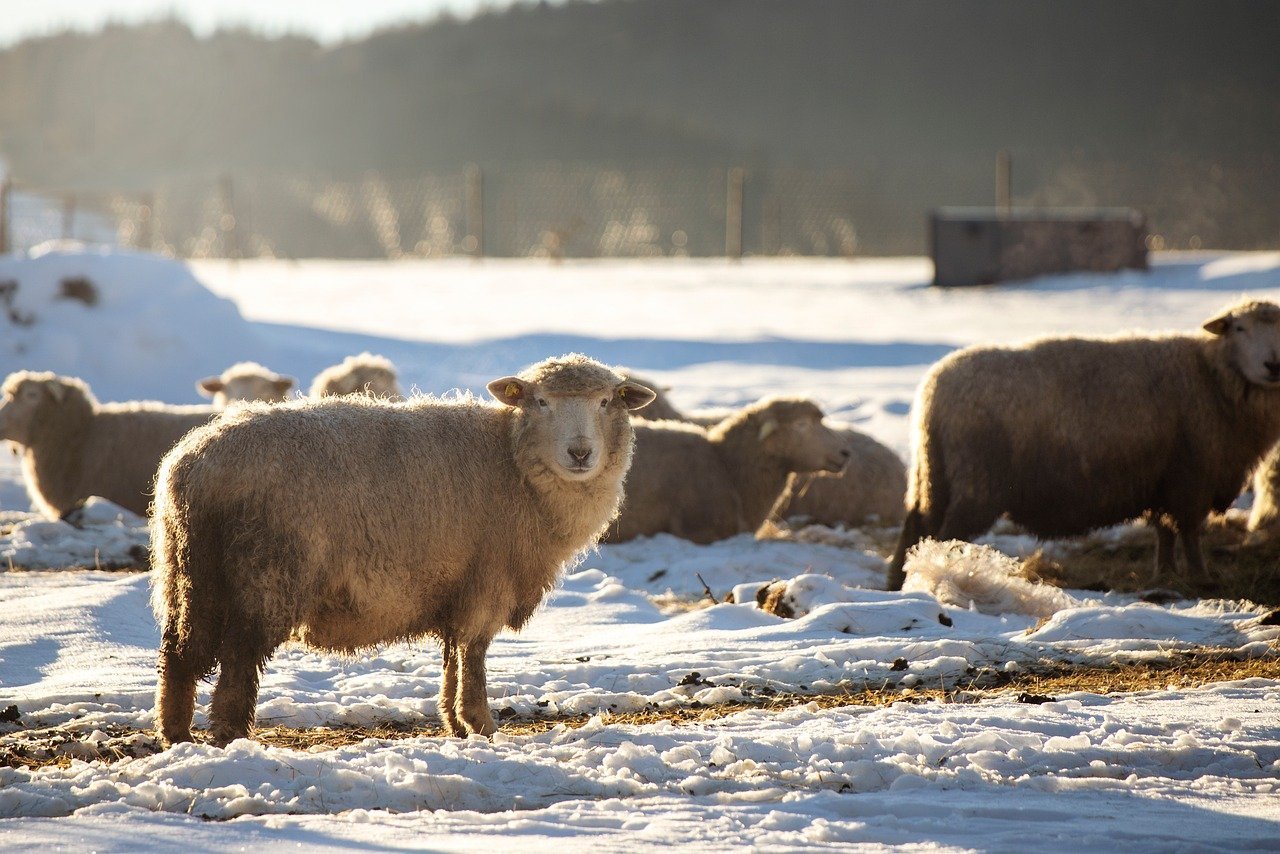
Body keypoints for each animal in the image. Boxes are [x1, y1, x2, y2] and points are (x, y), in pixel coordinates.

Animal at [150, 354, 655, 746]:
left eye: (606, 402)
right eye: (542, 401)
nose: (580, 454)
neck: (514, 463)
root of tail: (196, 466)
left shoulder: (458, 584)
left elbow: (453, 658)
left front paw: (455, 723)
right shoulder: (488, 579)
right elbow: (473, 655)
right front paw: (481, 724)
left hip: (189, 570)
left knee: (179, 652)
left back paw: (176, 733)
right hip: (267, 572)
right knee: (239, 656)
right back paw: (231, 735)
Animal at [888, 298, 1280, 590]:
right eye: (1239, 328)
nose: (1272, 365)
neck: (1212, 377)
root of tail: (933, 389)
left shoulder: (1164, 478)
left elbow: (1166, 532)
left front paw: (1165, 574)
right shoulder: (1191, 476)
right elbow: (1189, 532)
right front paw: (1201, 577)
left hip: (934, 476)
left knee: (915, 531)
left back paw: (901, 584)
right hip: (976, 482)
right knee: (945, 536)